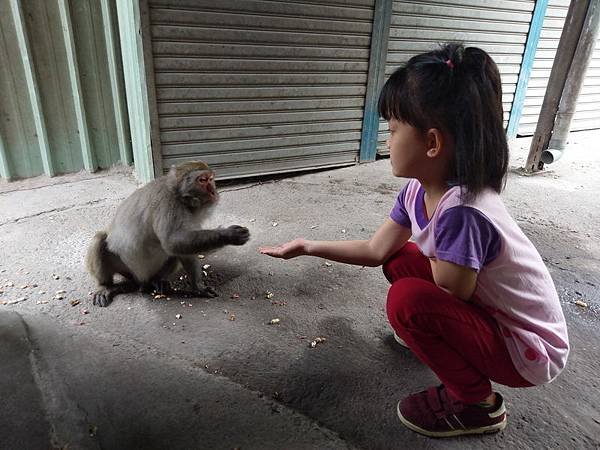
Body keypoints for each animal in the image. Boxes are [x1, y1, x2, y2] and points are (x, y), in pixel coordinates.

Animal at [84, 161, 248, 306]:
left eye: (211, 179)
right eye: (202, 180)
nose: (214, 190)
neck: (180, 197)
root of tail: (141, 280)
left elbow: (182, 248)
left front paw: (198, 287)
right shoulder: (168, 204)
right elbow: (172, 242)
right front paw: (229, 235)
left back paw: (157, 281)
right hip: (126, 269)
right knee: (99, 239)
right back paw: (106, 286)